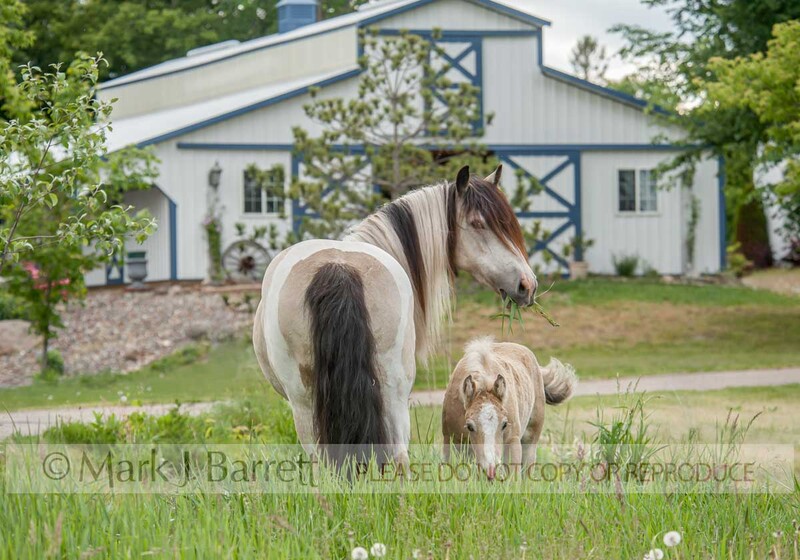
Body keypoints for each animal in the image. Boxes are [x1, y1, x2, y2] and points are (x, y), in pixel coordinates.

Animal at [441, 337, 577, 480]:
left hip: (530, 438)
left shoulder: (512, 440)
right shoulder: (450, 439)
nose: (491, 469)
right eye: (469, 426)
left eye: (504, 424)